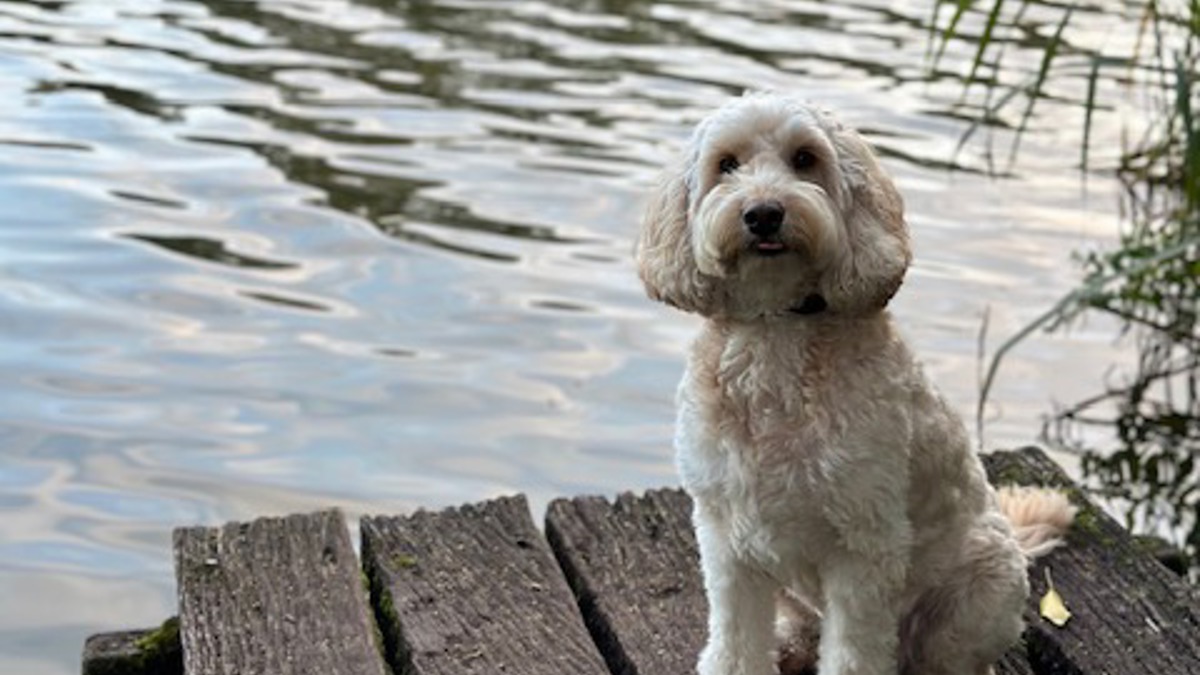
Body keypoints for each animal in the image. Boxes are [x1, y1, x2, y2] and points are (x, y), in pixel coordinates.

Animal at [638, 93, 1080, 672]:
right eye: (726, 164)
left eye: (805, 159)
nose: (763, 213)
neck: (776, 329)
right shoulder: (726, 540)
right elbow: (735, 643)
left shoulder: (863, 546)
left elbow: (852, 651)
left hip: (978, 594)